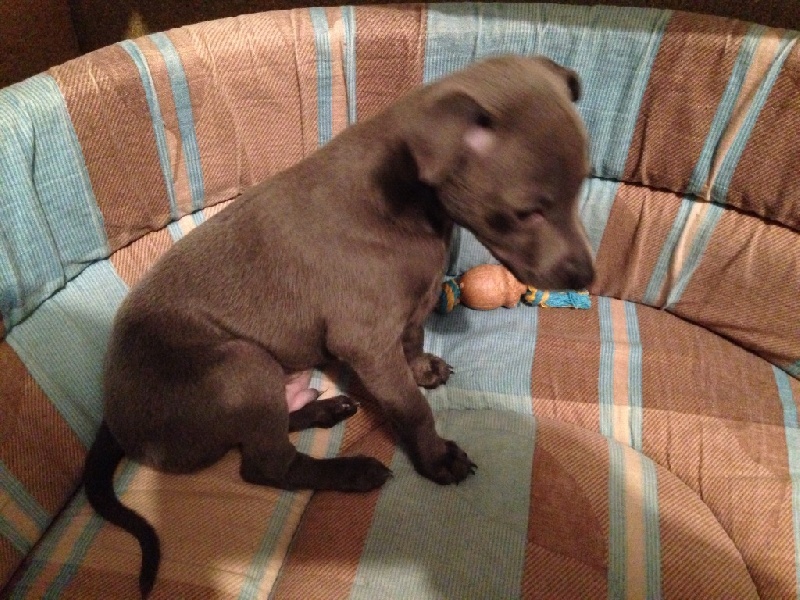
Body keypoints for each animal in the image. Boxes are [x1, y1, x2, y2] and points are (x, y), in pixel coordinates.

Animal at [83, 55, 594, 597]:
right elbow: (411, 409)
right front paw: (436, 457)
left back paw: (325, 410)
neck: (405, 204)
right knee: (265, 463)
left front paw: (422, 368)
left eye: (580, 188)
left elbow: (413, 339)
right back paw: (352, 471)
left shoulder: (408, 307)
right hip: (241, 364)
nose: (587, 275)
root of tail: (116, 420)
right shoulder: (365, 341)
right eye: (526, 211)